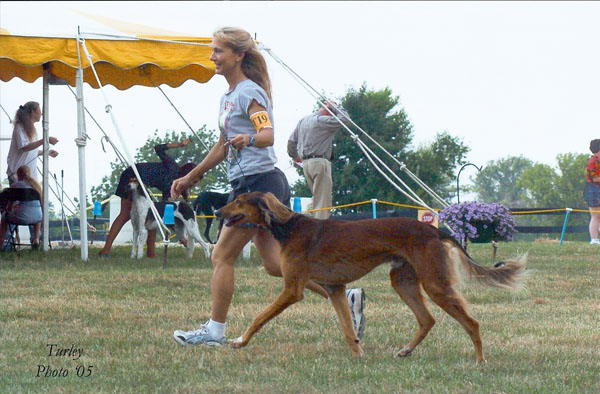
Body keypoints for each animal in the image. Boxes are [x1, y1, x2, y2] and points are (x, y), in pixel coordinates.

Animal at [216, 192, 524, 364]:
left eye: (238, 201)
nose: (218, 211)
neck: (289, 227)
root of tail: (435, 230)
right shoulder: (334, 288)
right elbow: (347, 329)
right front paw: (359, 355)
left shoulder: (293, 289)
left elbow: (259, 317)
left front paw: (240, 342)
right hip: (403, 281)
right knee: (427, 320)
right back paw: (405, 351)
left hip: (434, 283)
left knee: (471, 323)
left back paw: (480, 361)